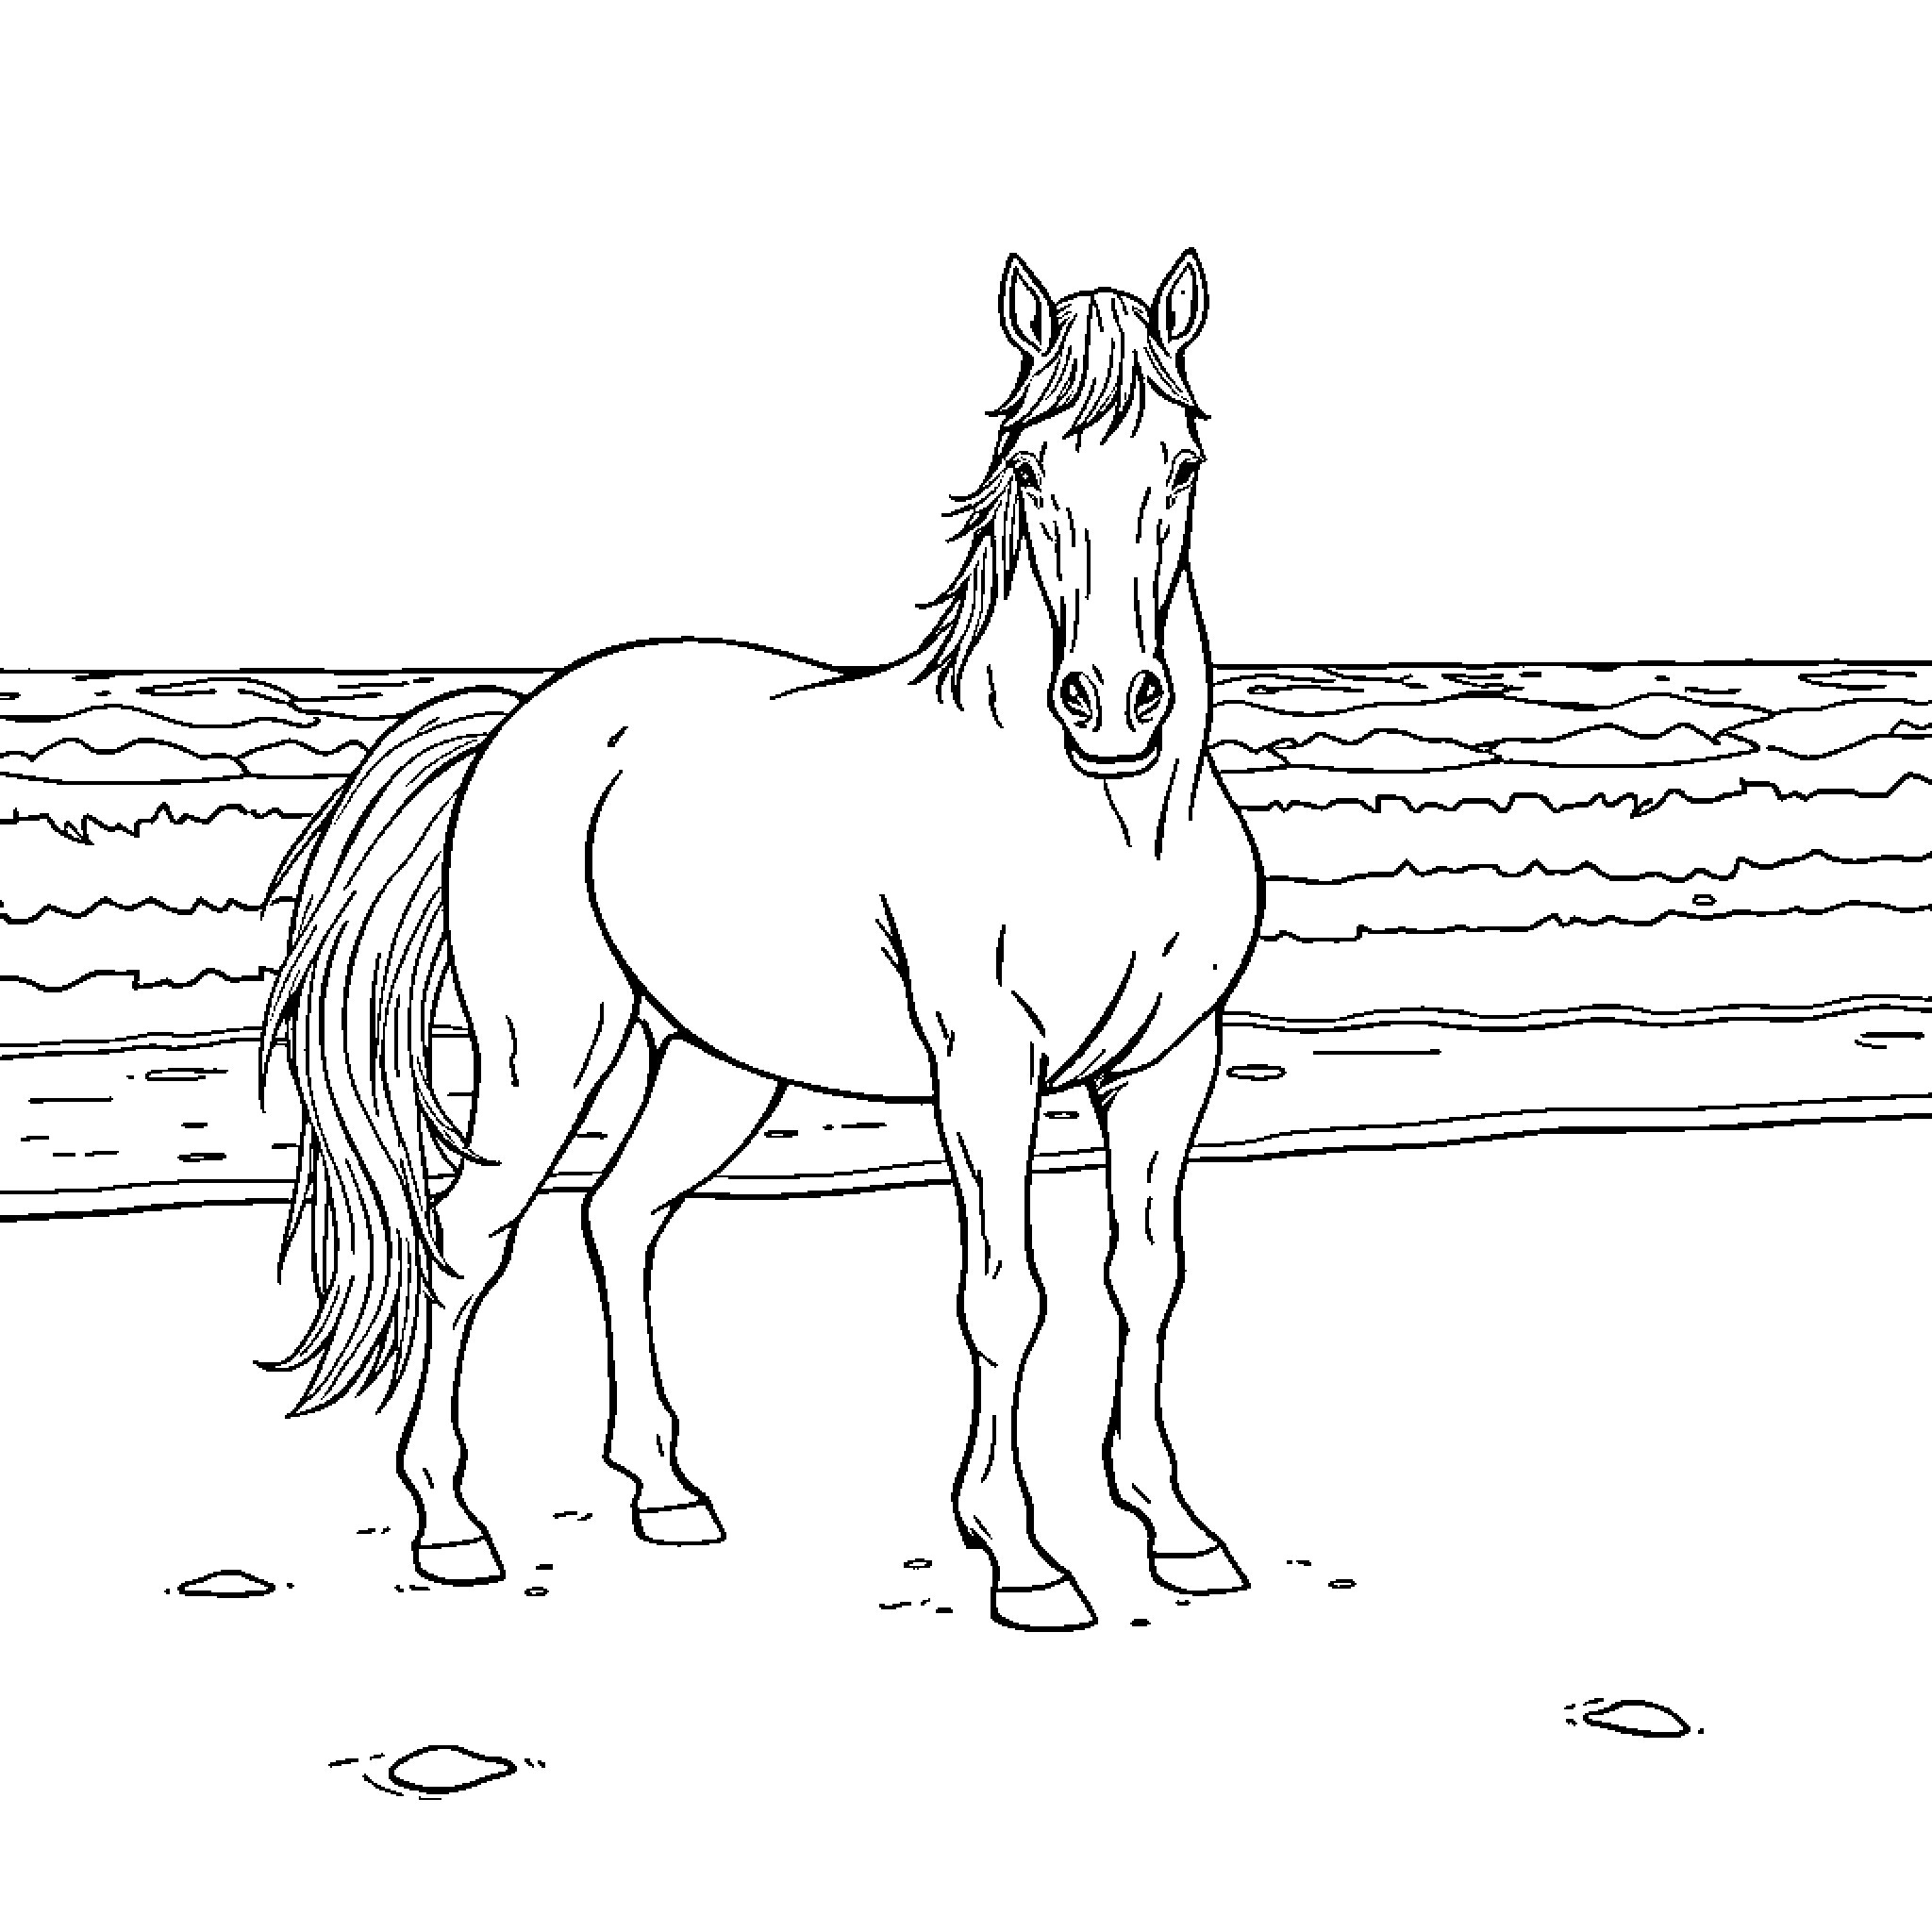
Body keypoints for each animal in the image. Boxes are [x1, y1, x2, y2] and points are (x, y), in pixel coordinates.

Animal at [262, 249, 1265, 1632]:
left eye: (1182, 463)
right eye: (1026, 466)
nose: (1112, 703)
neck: (1099, 819)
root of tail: (523, 714)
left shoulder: (1169, 1067)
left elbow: (1144, 1281)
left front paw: (1175, 1531)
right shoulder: (986, 1069)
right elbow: (1006, 1298)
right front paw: (1020, 1556)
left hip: (716, 1065)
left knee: (619, 1214)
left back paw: (666, 1493)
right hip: (547, 1047)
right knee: (471, 1237)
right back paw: (452, 1525)